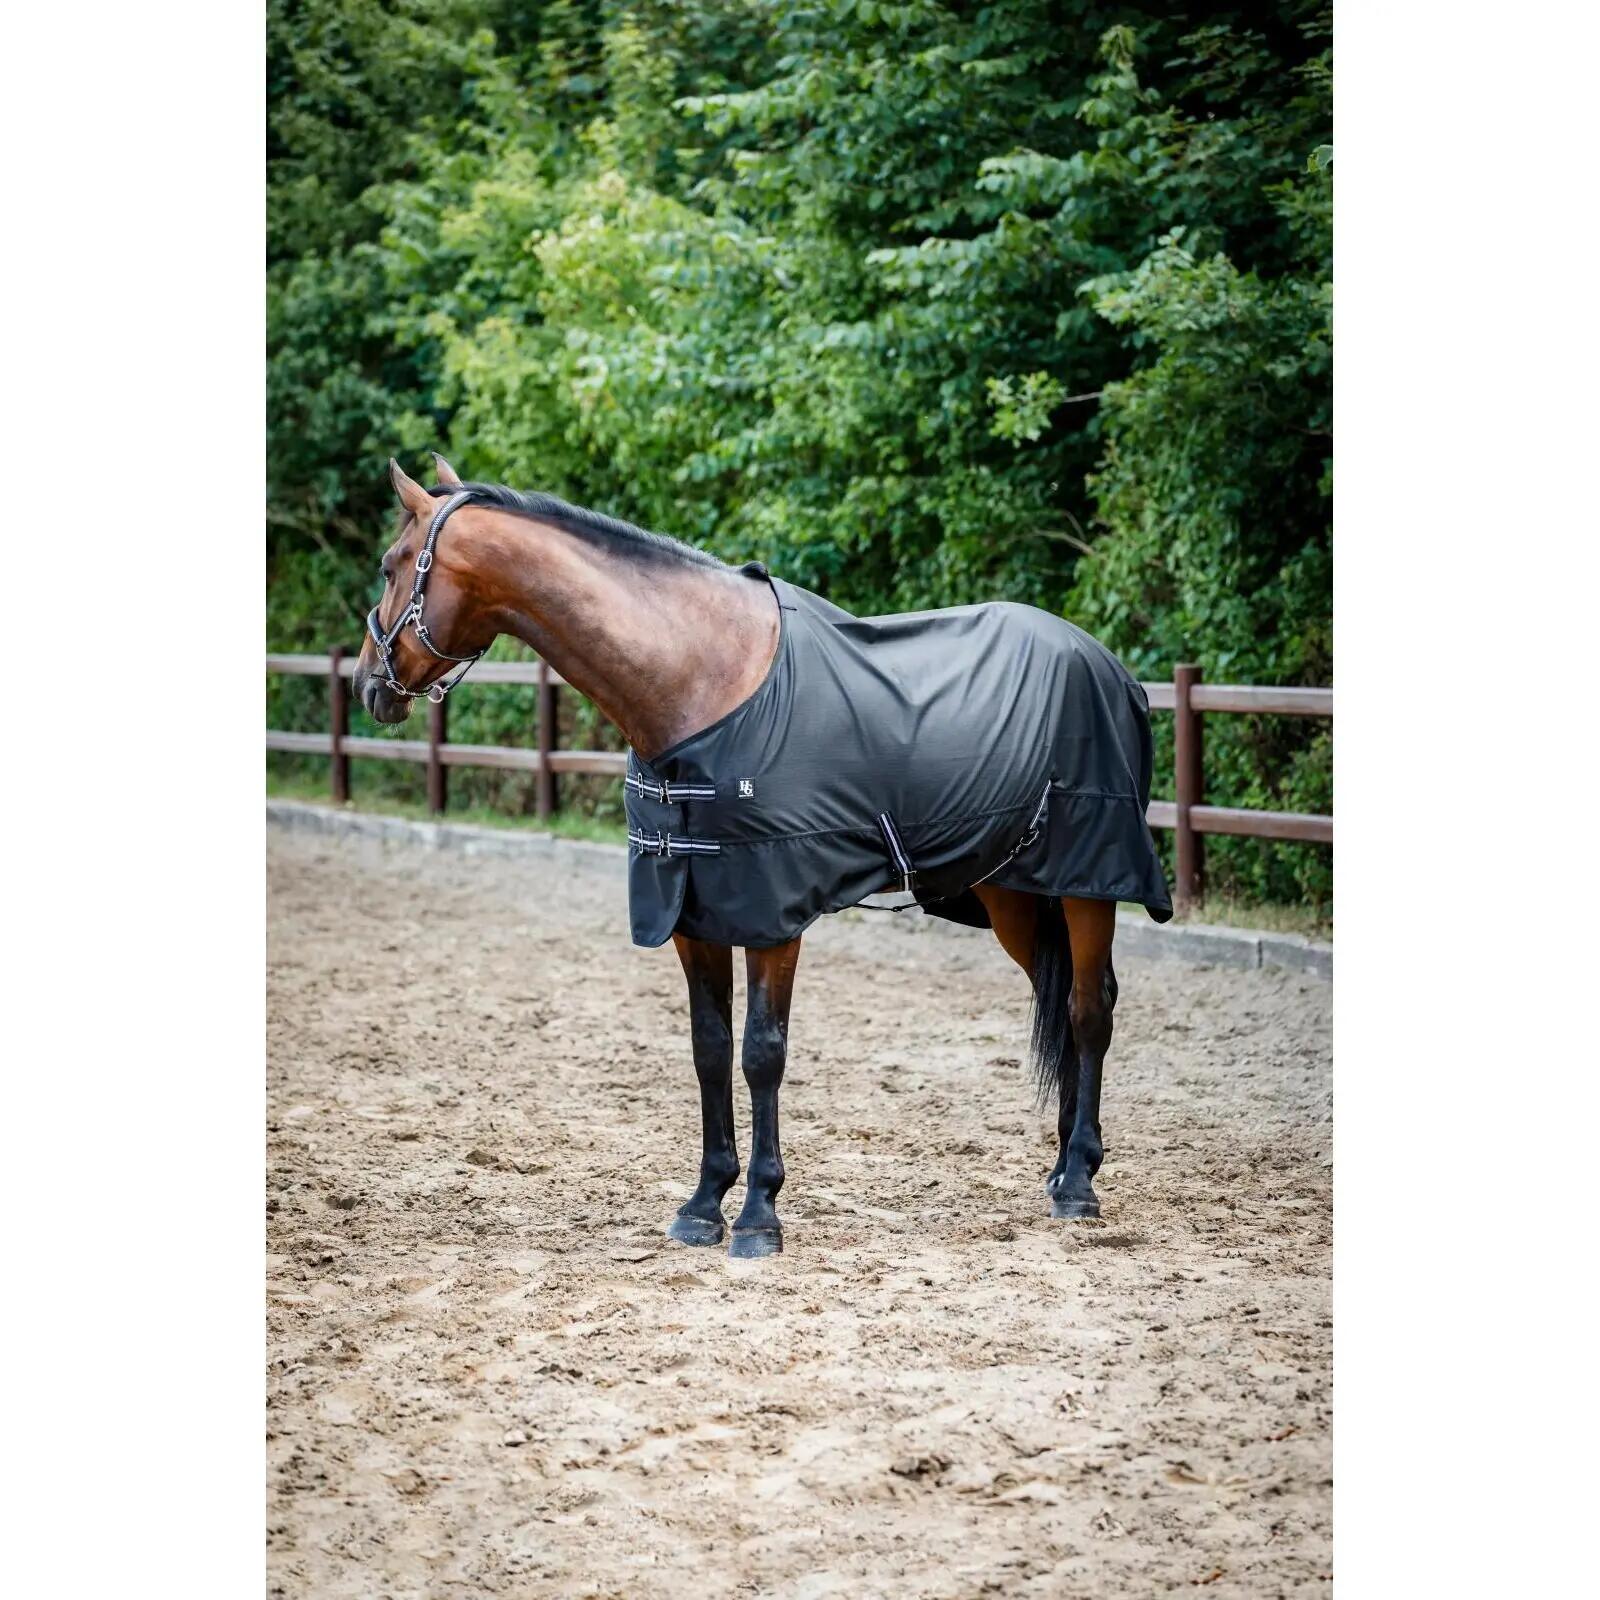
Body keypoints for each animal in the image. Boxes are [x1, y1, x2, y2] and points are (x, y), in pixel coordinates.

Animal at [353, 458, 1172, 1258]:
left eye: (392, 565)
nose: (367, 685)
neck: (700, 683)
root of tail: (1112, 667)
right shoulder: (693, 916)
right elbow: (710, 1050)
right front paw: (703, 1203)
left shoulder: (773, 916)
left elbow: (761, 1053)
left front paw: (758, 1215)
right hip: (1012, 894)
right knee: (1056, 1002)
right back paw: (1061, 1164)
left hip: (1089, 884)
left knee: (1089, 1009)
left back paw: (1078, 1182)